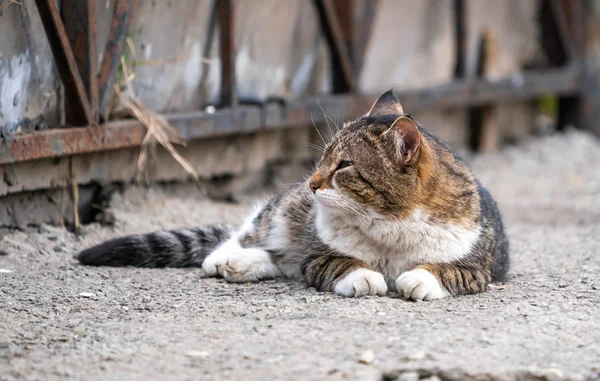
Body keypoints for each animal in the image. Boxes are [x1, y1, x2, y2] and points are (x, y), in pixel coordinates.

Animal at [77, 90, 508, 302]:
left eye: (343, 165)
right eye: (323, 157)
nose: (314, 182)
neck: (388, 226)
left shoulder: (477, 266)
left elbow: (447, 270)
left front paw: (418, 279)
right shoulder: (320, 255)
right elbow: (339, 262)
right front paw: (365, 277)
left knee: (283, 262)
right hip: (284, 211)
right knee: (250, 234)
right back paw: (226, 258)